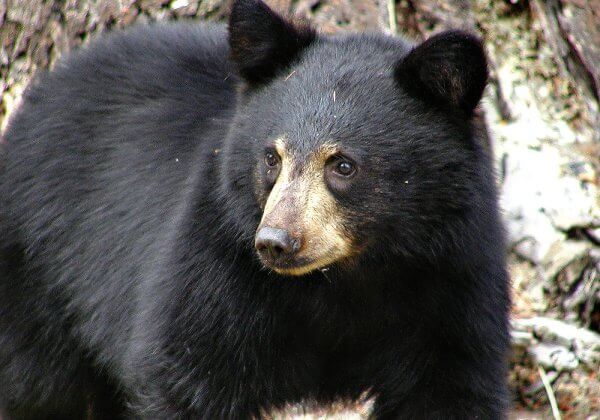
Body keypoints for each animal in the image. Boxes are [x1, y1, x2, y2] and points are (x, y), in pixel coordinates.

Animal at [0, 0, 510, 418]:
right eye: (272, 157)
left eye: (343, 164)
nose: (275, 243)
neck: (346, 278)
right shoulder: (217, 263)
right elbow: (186, 374)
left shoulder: (454, 276)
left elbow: (453, 386)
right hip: (41, 270)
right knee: (39, 386)